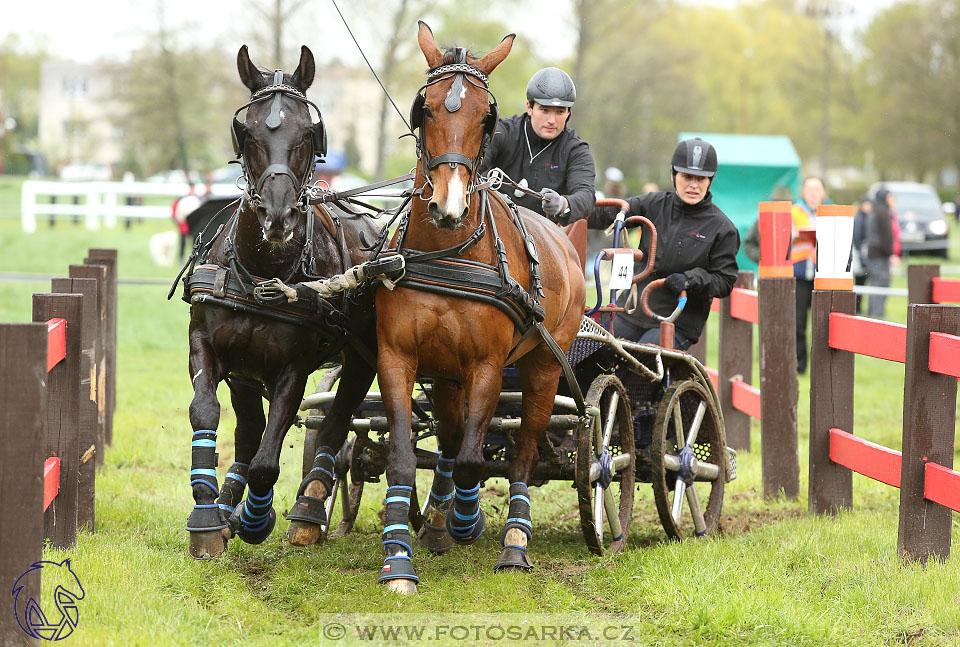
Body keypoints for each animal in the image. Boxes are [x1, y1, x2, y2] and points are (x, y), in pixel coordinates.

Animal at [182, 45, 376, 560]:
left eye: (308, 131)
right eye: (247, 131)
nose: (277, 216)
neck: (263, 271)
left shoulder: (294, 367)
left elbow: (270, 459)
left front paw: (257, 517)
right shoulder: (207, 344)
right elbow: (206, 413)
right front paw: (208, 513)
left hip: (363, 358)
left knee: (335, 423)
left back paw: (308, 507)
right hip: (246, 372)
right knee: (249, 431)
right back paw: (228, 501)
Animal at [374, 22, 584, 596]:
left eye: (486, 117)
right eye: (424, 109)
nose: (448, 207)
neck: (447, 251)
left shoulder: (488, 365)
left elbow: (474, 458)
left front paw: (468, 521)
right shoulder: (397, 357)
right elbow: (406, 458)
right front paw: (400, 559)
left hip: (543, 365)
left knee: (524, 448)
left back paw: (512, 542)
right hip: (445, 374)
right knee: (449, 438)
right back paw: (438, 520)